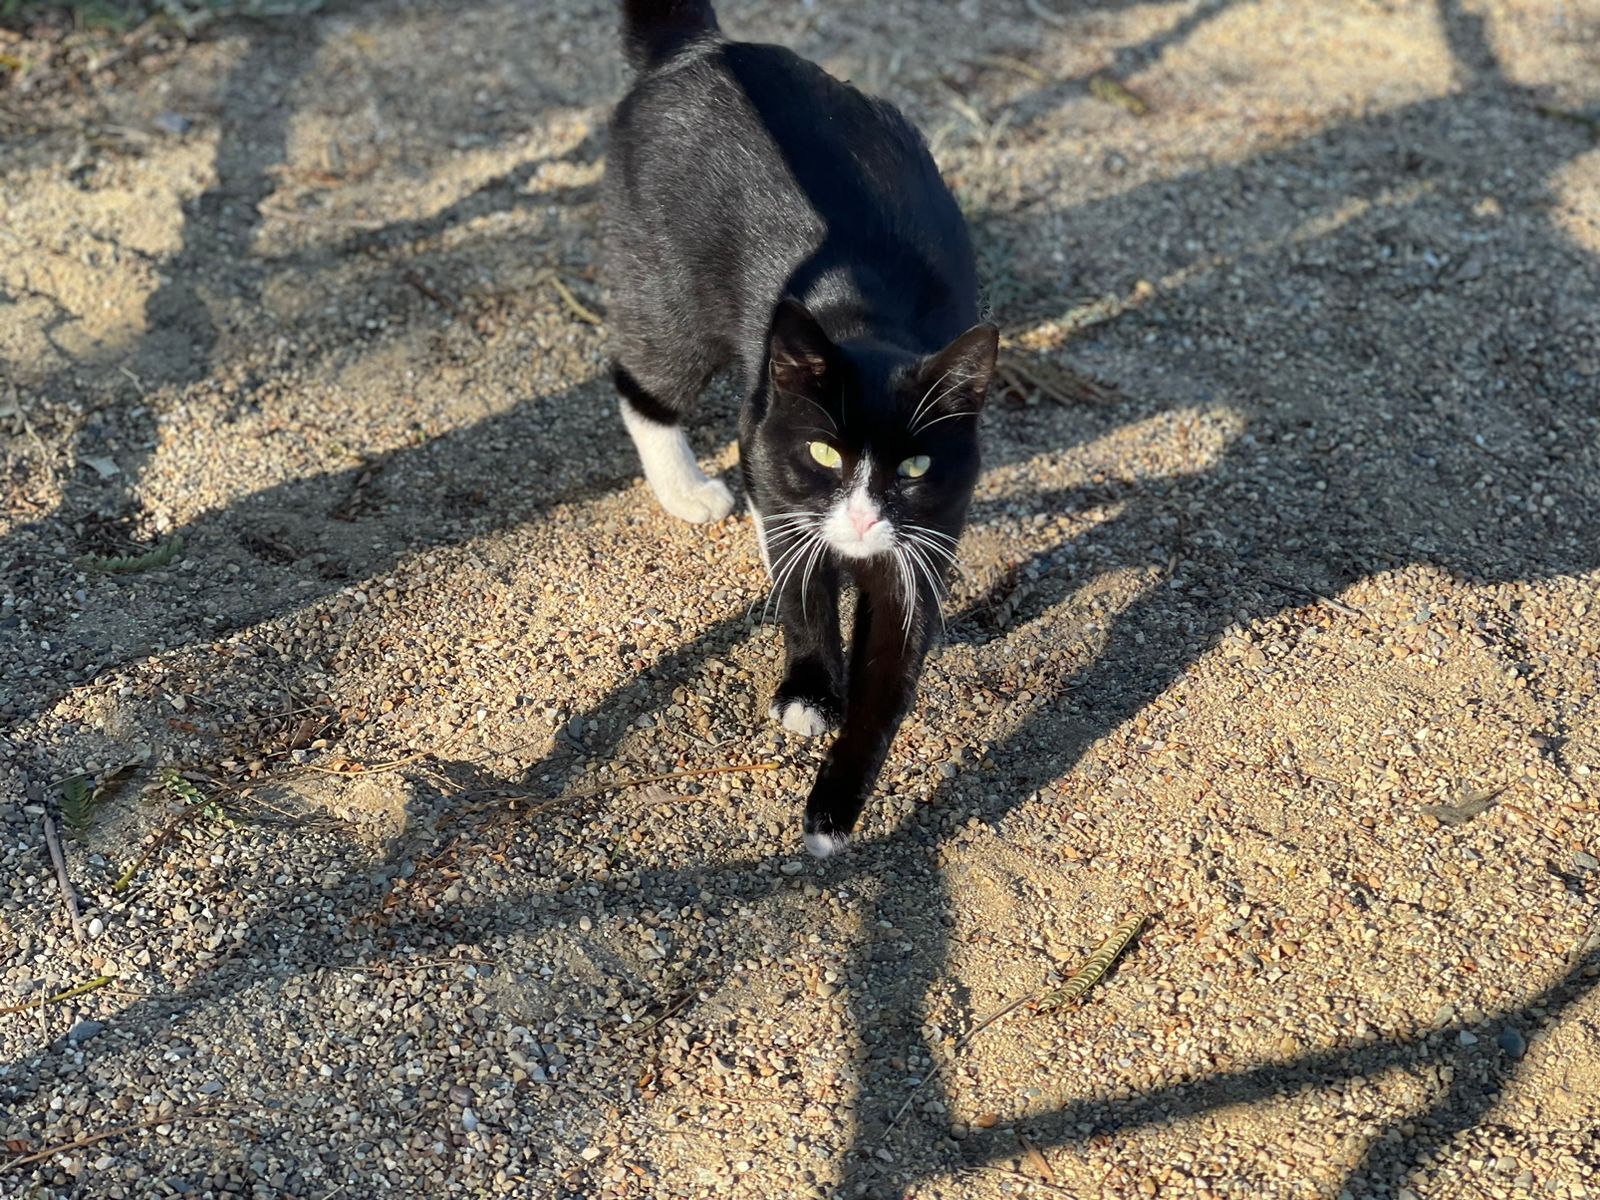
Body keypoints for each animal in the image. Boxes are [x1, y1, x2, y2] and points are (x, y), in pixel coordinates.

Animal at [601, 2, 992, 864]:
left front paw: (833, 808)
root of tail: (701, 48)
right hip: (664, 289)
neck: (869, 319)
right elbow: (803, 588)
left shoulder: (926, 538)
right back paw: (689, 491)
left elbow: (890, 670)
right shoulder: (775, 458)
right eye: (823, 451)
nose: (863, 517)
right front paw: (812, 687)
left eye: (915, 466)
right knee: (646, 378)